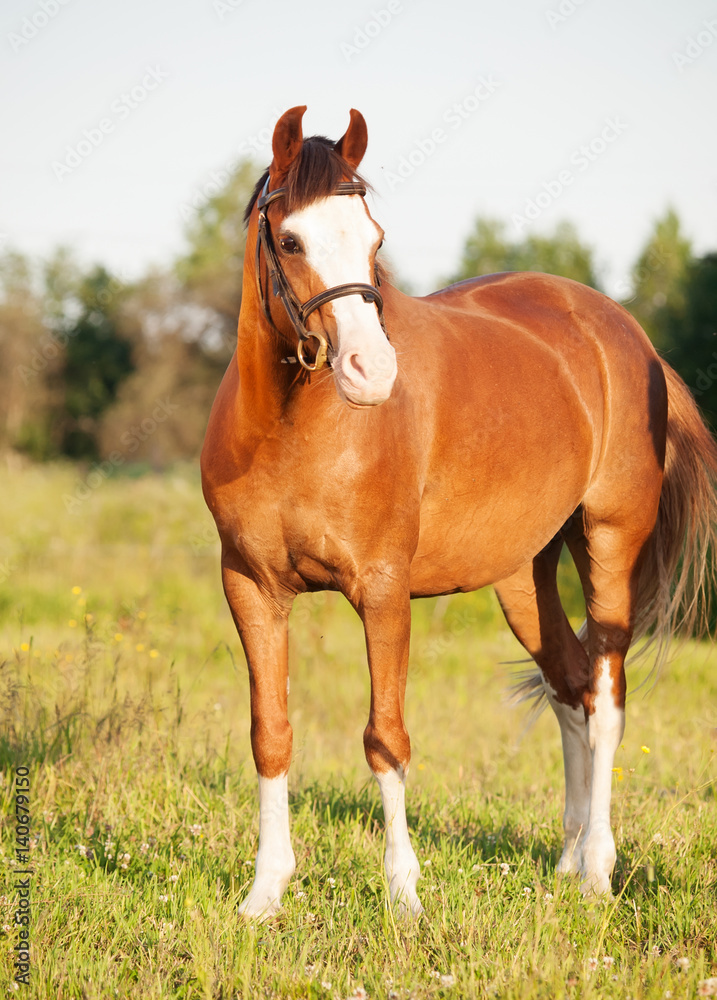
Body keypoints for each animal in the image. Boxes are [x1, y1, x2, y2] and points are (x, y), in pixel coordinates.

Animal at [201, 105, 717, 919]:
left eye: (374, 238)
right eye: (290, 241)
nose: (371, 372)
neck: (290, 431)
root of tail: (626, 334)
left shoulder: (383, 591)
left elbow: (386, 738)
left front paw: (403, 896)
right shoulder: (250, 588)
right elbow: (270, 733)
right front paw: (264, 894)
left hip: (608, 544)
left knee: (605, 695)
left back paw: (598, 871)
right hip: (522, 574)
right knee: (569, 685)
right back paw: (567, 862)